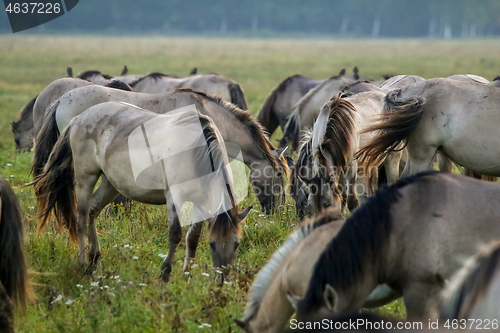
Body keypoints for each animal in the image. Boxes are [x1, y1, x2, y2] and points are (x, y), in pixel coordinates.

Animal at [34, 101, 252, 280]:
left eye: (237, 244)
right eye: (213, 244)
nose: (222, 279)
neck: (196, 153)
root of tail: (79, 118)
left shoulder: (200, 202)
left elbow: (192, 239)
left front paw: (186, 276)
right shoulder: (174, 197)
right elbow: (175, 234)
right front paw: (165, 274)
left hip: (110, 184)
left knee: (93, 212)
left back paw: (94, 260)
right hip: (85, 178)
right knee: (81, 217)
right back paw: (82, 263)